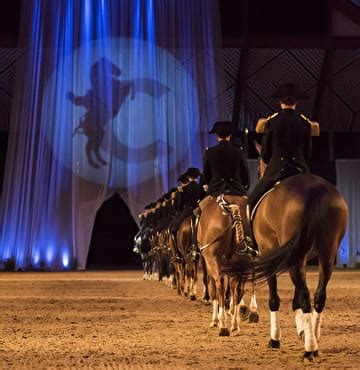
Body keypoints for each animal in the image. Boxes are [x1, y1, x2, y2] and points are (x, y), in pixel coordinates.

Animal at [224, 174, 348, 362]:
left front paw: (275, 339)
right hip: (326, 254)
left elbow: (274, 299)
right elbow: (296, 300)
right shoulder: (300, 259)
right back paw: (314, 339)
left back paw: (309, 350)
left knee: (305, 296)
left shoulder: (270, 252)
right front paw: (303, 330)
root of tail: (314, 189)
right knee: (318, 296)